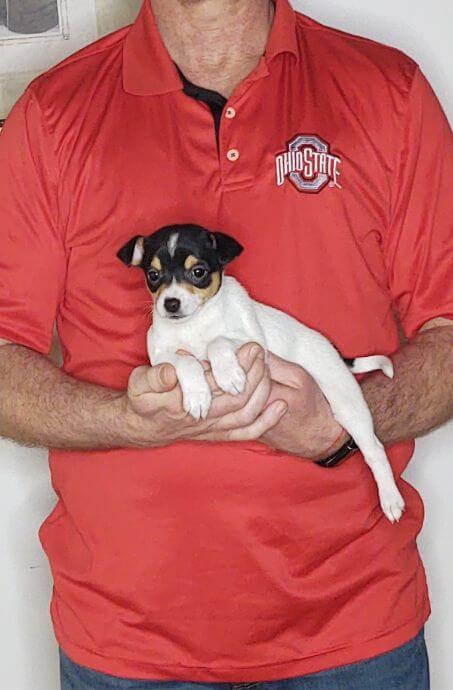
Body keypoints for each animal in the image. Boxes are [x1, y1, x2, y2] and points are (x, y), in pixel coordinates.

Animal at [118, 223, 404, 520]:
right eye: (153, 275)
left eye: (198, 272)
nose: (171, 303)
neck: (194, 324)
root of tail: (335, 353)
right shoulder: (160, 356)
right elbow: (185, 361)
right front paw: (197, 394)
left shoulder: (253, 343)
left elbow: (218, 341)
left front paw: (227, 373)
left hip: (347, 404)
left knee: (374, 449)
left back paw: (390, 498)